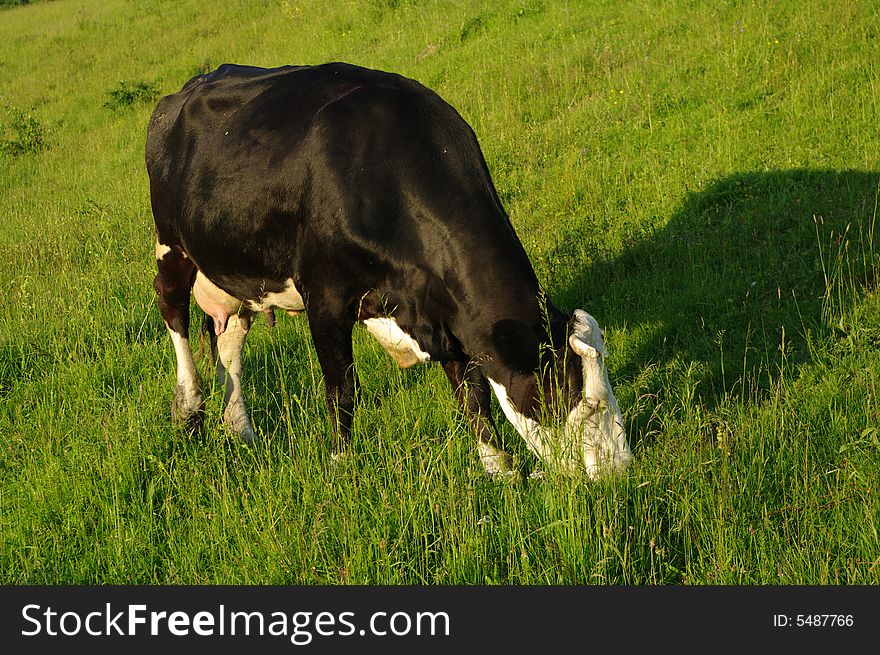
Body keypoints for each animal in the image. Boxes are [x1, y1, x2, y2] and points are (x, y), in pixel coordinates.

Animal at [146, 62, 632, 476]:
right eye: (587, 404)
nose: (620, 473)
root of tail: (190, 86)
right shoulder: (325, 296)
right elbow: (342, 391)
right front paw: (341, 467)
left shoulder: (445, 307)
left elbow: (471, 392)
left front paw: (498, 469)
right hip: (171, 245)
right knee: (174, 312)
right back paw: (189, 411)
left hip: (234, 269)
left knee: (230, 341)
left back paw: (240, 429)